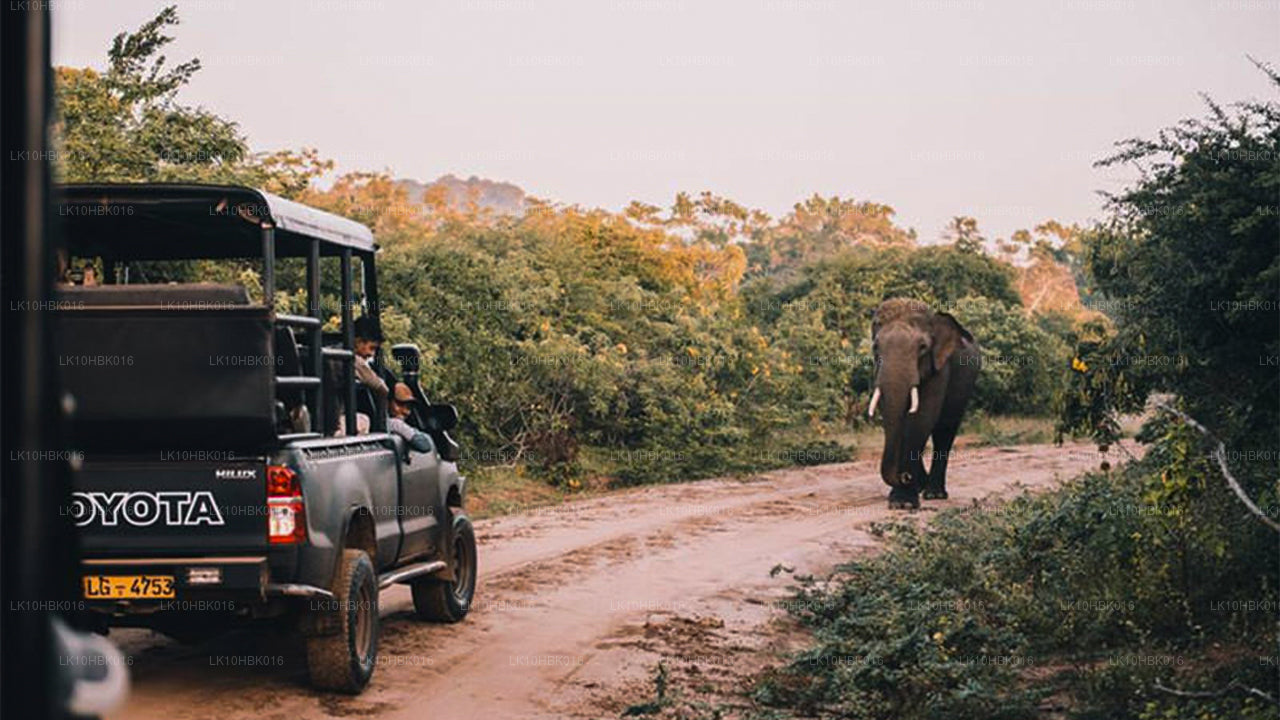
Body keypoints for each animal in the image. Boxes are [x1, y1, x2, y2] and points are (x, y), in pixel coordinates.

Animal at [865, 299, 983, 507]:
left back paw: (934, 494)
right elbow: (892, 415)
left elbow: (923, 416)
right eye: (875, 347)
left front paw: (903, 503)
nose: (904, 477)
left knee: (945, 430)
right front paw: (901, 499)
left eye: (922, 347)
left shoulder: (940, 367)